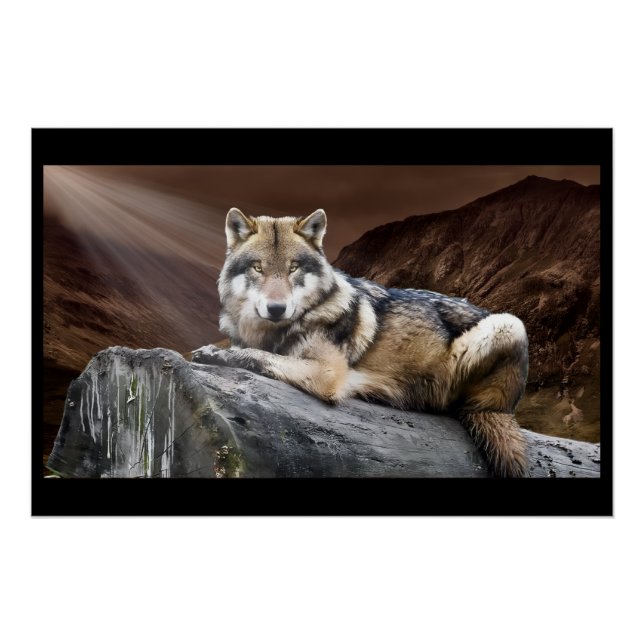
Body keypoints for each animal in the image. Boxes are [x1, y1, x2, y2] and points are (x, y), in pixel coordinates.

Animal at [193, 208, 530, 477]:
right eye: (258, 267)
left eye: (293, 268)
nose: (277, 309)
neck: (272, 331)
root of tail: (505, 408)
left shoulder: (327, 373)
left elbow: (255, 355)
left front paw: (216, 354)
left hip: (508, 324)